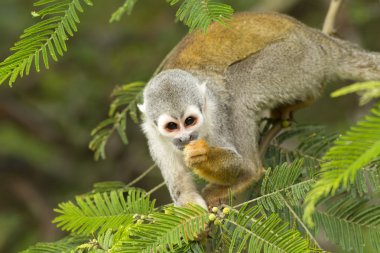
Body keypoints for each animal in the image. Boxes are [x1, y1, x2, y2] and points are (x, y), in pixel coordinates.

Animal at [138, 11, 380, 209]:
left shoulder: (215, 109)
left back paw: (249, 171)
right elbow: (182, 190)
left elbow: (232, 154)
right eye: (172, 126)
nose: (186, 138)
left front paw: (204, 155)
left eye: (189, 121)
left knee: (238, 89)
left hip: (294, 58)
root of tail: (315, 37)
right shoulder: (153, 136)